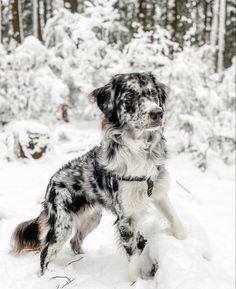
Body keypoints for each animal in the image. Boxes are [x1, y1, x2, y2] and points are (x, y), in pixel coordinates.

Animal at [10, 71, 186, 280]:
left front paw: (184, 239)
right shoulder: (126, 218)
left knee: (75, 242)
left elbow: (176, 221)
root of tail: (51, 182)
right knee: (45, 252)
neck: (139, 150)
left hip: (92, 218)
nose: (158, 113)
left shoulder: (159, 192)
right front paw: (136, 281)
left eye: (152, 93)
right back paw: (46, 276)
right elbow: (133, 258)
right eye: (130, 96)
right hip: (62, 224)